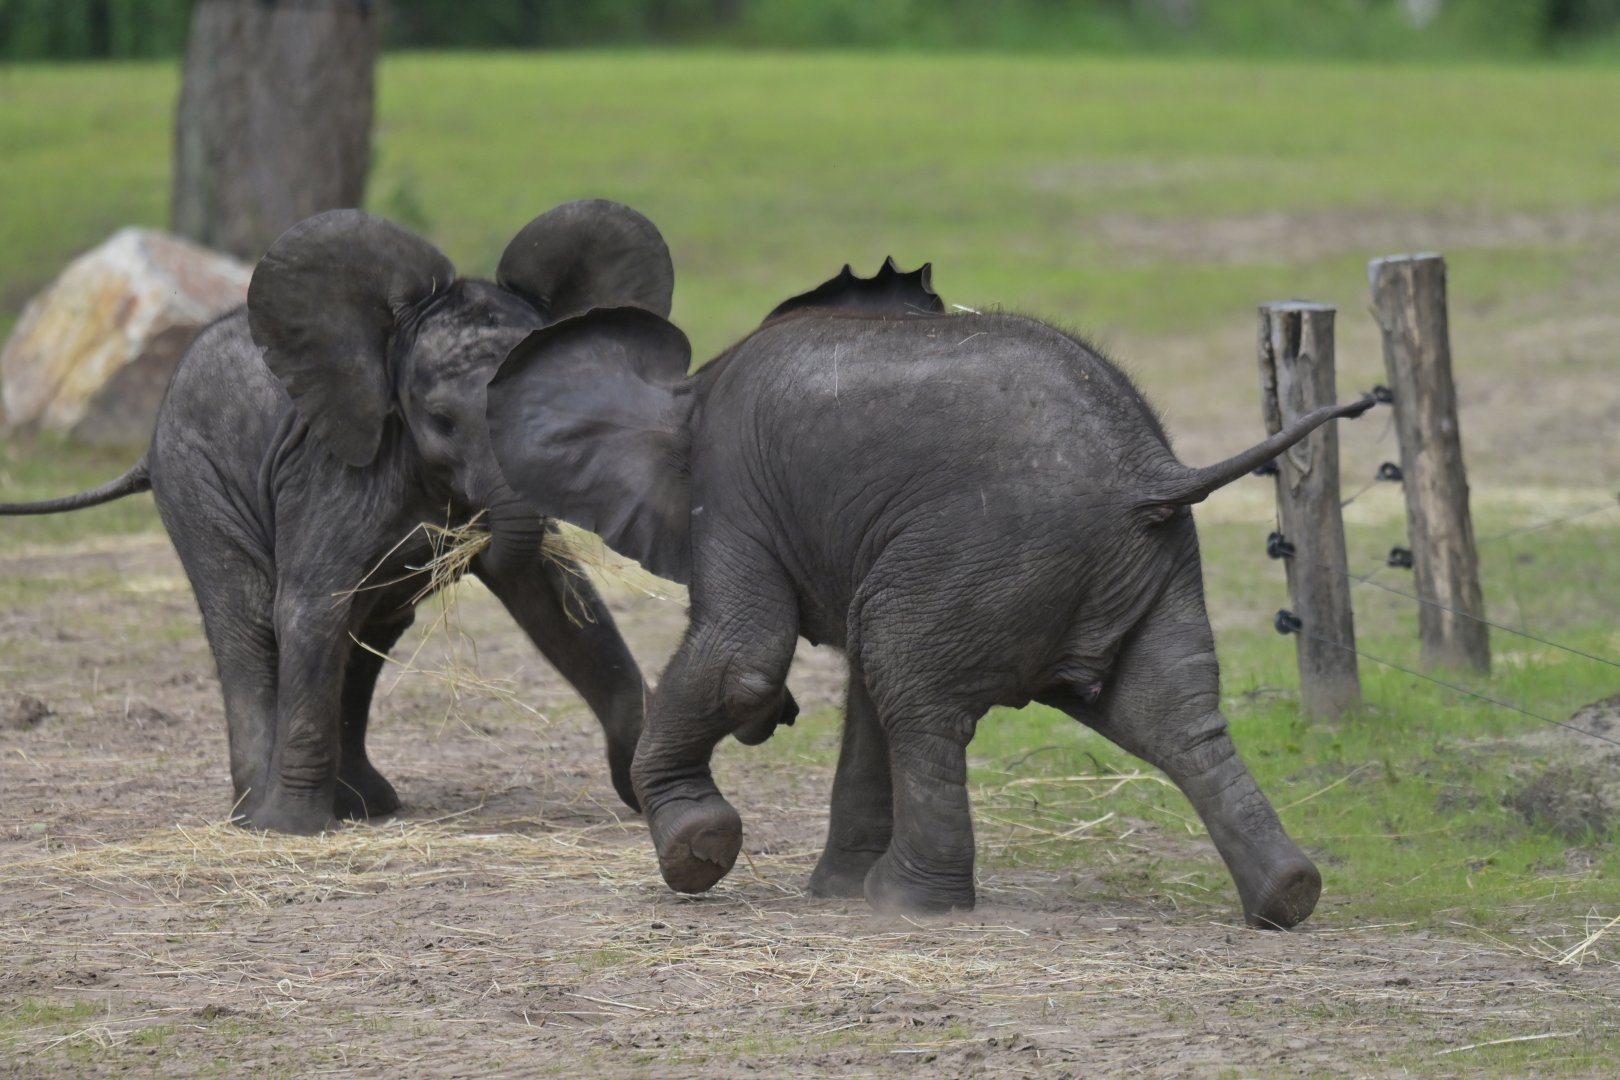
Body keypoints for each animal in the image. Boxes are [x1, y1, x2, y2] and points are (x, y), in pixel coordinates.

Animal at [0, 199, 669, 835]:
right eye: (441, 421)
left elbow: (556, 598)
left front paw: (645, 791)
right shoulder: (333, 475)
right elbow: (309, 609)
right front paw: (289, 830)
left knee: (370, 633)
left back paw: (361, 804)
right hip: (196, 480)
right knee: (251, 622)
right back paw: (257, 812)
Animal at [481, 259, 1375, 928]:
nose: (780, 723)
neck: (690, 387)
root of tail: (1153, 472)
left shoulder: (732, 485)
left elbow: (743, 658)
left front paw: (697, 851)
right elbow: (848, 694)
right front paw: (828, 891)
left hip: (996, 552)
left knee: (910, 678)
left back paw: (910, 903)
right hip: (1141, 568)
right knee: (1169, 715)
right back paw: (1288, 897)